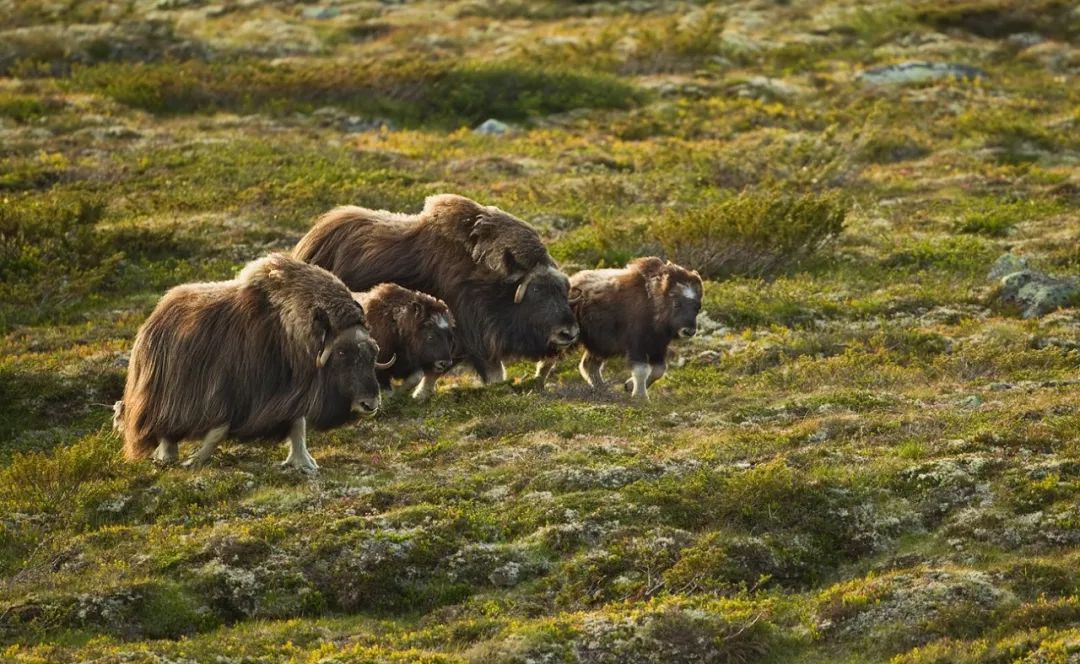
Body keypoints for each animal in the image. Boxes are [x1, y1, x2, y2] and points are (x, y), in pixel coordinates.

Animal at [115, 250, 393, 472]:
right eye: (343, 353)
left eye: (374, 351)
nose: (370, 404)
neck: (290, 334)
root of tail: (156, 313)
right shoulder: (233, 391)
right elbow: (219, 429)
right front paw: (194, 461)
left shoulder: (289, 395)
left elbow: (298, 426)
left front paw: (305, 463)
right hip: (163, 394)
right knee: (164, 427)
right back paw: (167, 456)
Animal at [535, 256, 704, 401]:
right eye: (677, 304)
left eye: (697, 307)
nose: (689, 331)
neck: (655, 303)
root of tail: (572, 282)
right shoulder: (637, 345)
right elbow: (642, 370)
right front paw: (641, 397)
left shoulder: (658, 346)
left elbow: (659, 370)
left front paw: (629, 386)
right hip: (568, 338)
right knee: (548, 361)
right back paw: (537, 386)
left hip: (601, 346)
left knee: (588, 365)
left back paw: (602, 389)